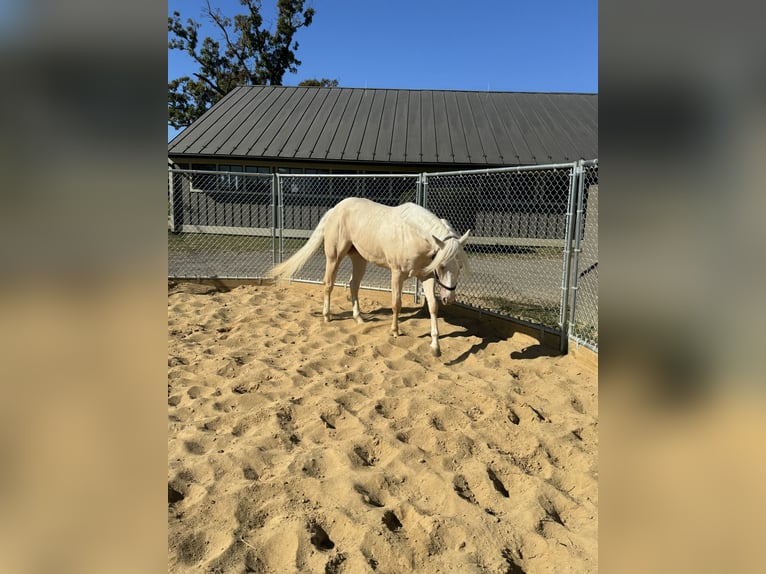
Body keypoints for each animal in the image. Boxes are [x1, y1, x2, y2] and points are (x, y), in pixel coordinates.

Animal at [270, 198, 474, 356]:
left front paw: (435, 346)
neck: (412, 233)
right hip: (334, 256)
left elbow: (432, 307)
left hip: (359, 258)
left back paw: (358, 318)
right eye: (442, 265)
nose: (449, 298)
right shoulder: (397, 273)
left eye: (460, 266)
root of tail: (335, 209)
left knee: (353, 285)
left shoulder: (426, 277)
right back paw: (327, 316)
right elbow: (396, 303)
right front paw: (395, 331)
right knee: (328, 283)